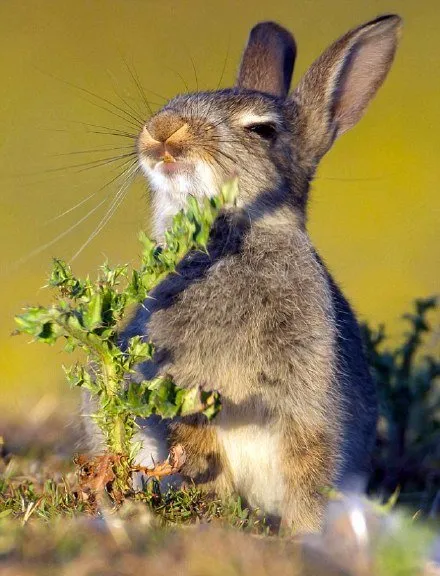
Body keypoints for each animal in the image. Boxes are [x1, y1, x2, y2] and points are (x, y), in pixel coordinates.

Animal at [85, 14, 402, 536]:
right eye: (173, 102)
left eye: (263, 130)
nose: (162, 131)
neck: (227, 240)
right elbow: (197, 455)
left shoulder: (308, 406)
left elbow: (308, 471)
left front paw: (302, 534)